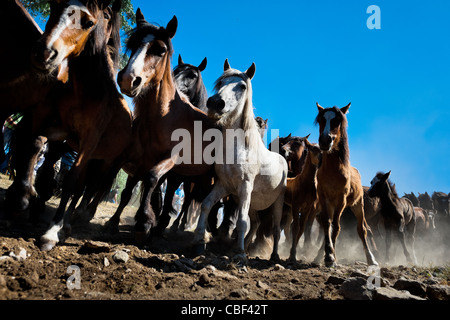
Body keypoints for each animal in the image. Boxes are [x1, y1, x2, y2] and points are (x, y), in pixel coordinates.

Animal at [193, 60, 288, 262]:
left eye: (242, 86)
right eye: (221, 82)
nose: (215, 103)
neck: (240, 149)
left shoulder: (245, 187)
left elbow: (241, 222)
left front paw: (240, 254)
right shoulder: (224, 185)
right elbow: (206, 205)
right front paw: (199, 242)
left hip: (277, 202)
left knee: (276, 230)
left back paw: (274, 255)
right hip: (253, 202)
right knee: (256, 223)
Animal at [314, 103, 378, 268]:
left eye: (337, 121)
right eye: (321, 120)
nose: (325, 141)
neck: (332, 171)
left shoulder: (341, 200)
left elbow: (337, 227)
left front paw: (331, 257)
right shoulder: (324, 198)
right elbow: (327, 224)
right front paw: (328, 255)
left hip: (357, 205)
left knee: (362, 230)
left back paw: (371, 259)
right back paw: (319, 256)